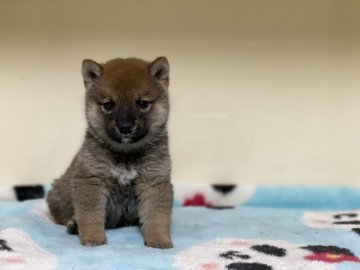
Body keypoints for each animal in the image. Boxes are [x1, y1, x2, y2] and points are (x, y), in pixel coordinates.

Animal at [47, 57, 174, 249]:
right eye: (108, 105)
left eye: (142, 103)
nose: (125, 127)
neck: (126, 155)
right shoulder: (92, 180)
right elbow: (91, 216)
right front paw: (93, 238)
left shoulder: (153, 181)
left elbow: (157, 217)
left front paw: (159, 240)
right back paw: (73, 224)